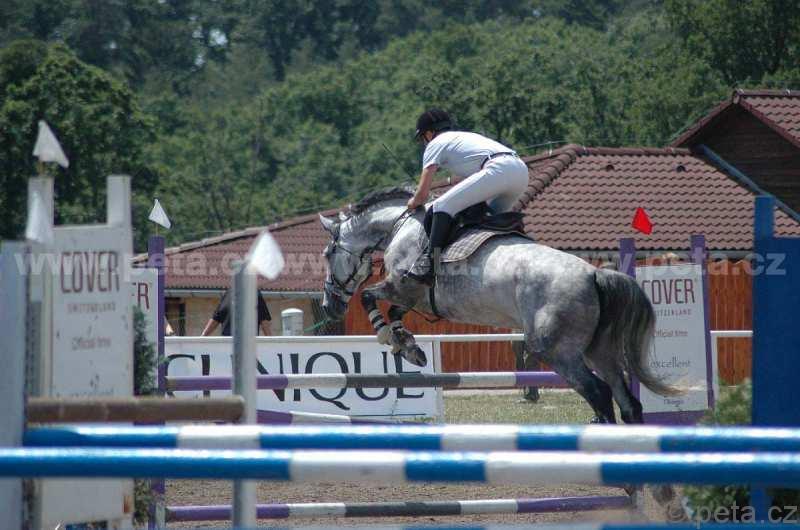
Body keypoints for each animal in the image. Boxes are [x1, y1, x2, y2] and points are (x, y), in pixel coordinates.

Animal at [319, 187, 678, 424]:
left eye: (326, 254)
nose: (328, 306)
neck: (401, 226)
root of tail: (594, 273)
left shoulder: (401, 286)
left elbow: (369, 297)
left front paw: (390, 339)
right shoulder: (413, 296)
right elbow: (395, 314)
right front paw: (409, 348)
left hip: (558, 351)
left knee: (599, 394)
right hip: (598, 350)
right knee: (626, 400)